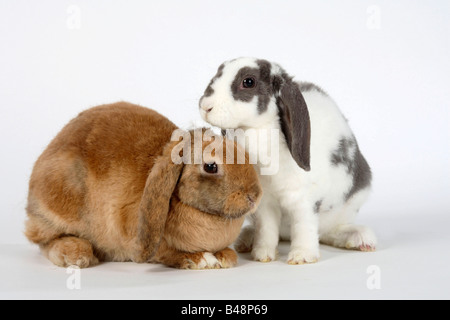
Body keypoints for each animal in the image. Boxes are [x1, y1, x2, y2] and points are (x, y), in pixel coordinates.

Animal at [24, 101, 262, 268]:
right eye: (211, 166)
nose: (255, 196)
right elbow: (168, 253)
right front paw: (203, 259)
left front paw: (226, 256)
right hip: (57, 206)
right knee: (45, 241)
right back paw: (77, 255)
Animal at [200, 58, 376, 264]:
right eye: (218, 72)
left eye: (248, 82)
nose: (205, 106)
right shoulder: (265, 203)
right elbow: (267, 228)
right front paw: (262, 254)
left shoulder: (304, 200)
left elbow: (304, 226)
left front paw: (302, 257)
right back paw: (246, 240)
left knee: (330, 232)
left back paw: (362, 239)